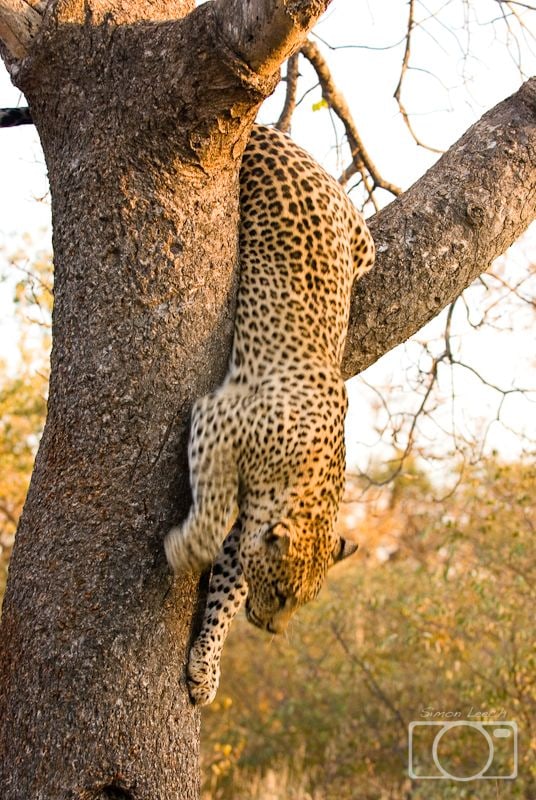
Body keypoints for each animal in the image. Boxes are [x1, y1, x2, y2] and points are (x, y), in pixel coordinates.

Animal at [0, 109, 374, 706]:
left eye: (300, 601)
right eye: (282, 591)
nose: (274, 630)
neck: (306, 481)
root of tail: (283, 140)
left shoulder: (250, 519)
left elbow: (227, 585)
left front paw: (206, 665)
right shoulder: (218, 420)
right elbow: (213, 517)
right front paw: (183, 550)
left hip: (361, 242)